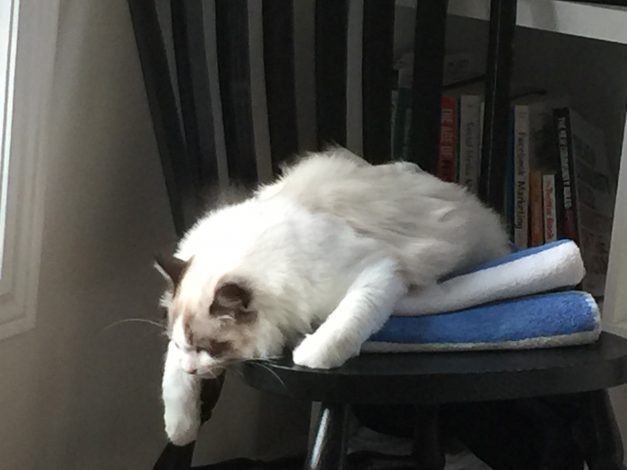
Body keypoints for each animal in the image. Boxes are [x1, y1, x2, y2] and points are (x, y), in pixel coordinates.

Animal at [157, 148, 510, 444]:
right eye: (185, 345)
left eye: (211, 347)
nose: (192, 369)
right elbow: (172, 382)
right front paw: (180, 430)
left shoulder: (380, 271)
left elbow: (345, 322)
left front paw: (309, 355)